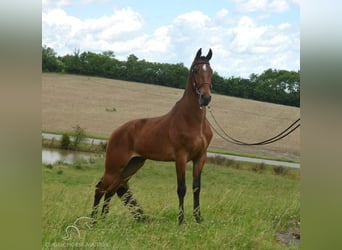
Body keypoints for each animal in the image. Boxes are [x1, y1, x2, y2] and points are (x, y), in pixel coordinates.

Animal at [92, 47, 212, 224]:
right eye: (195, 70)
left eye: (211, 71)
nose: (205, 97)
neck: (193, 121)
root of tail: (116, 131)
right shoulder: (181, 157)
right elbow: (181, 188)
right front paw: (181, 221)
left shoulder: (200, 157)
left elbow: (196, 187)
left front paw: (198, 219)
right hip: (114, 166)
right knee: (100, 188)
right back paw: (92, 221)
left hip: (132, 165)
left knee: (112, 190)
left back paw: (103, 220)